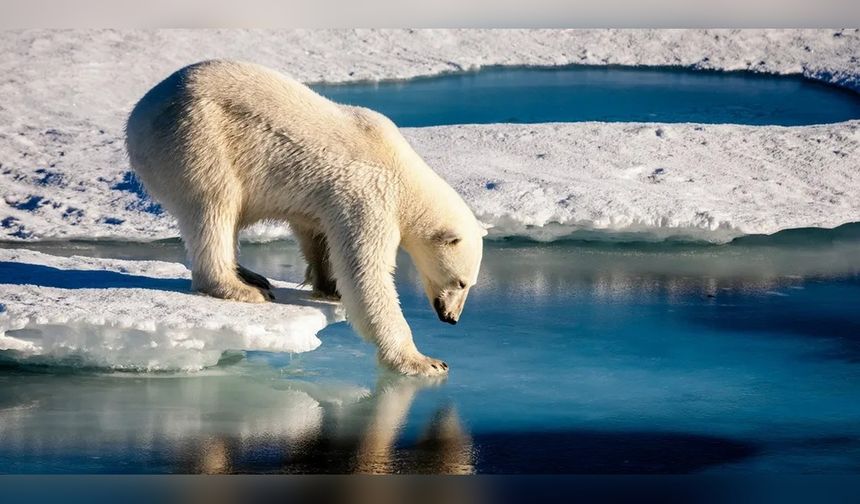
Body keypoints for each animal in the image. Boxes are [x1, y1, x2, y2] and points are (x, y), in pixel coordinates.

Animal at [128, 60, 490, 374]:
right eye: (460, 282)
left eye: (469, 283)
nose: (451, 318)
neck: (402, 172)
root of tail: (137, 115)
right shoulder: (369, 196)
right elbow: (366, 274)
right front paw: (424, 361)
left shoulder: (325, 200)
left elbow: (316, 234)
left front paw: (328, 286)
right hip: (197, 138)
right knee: (214, 206)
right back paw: (241, 288)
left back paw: (250, 275)